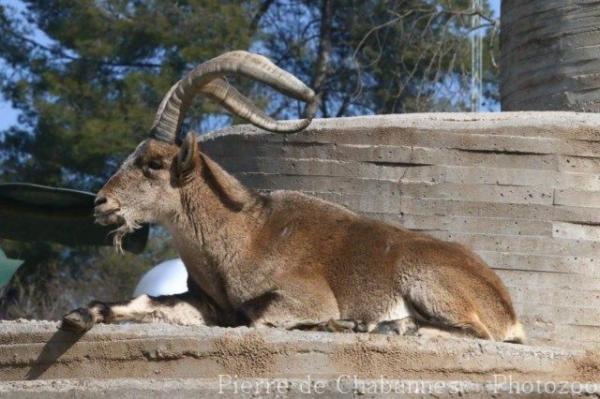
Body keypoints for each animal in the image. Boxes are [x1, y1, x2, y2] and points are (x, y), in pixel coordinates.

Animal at [59, 50, 520, 344]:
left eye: (153, 163)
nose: (101, 204)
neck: (242, 234)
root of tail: (506, 305)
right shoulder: (208, 304)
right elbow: (145, 301)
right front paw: (79, 316)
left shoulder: (304, 296)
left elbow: (257, 321)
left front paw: (337, 325)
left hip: (425, 280)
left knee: (477, 331)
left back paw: (385, 327)